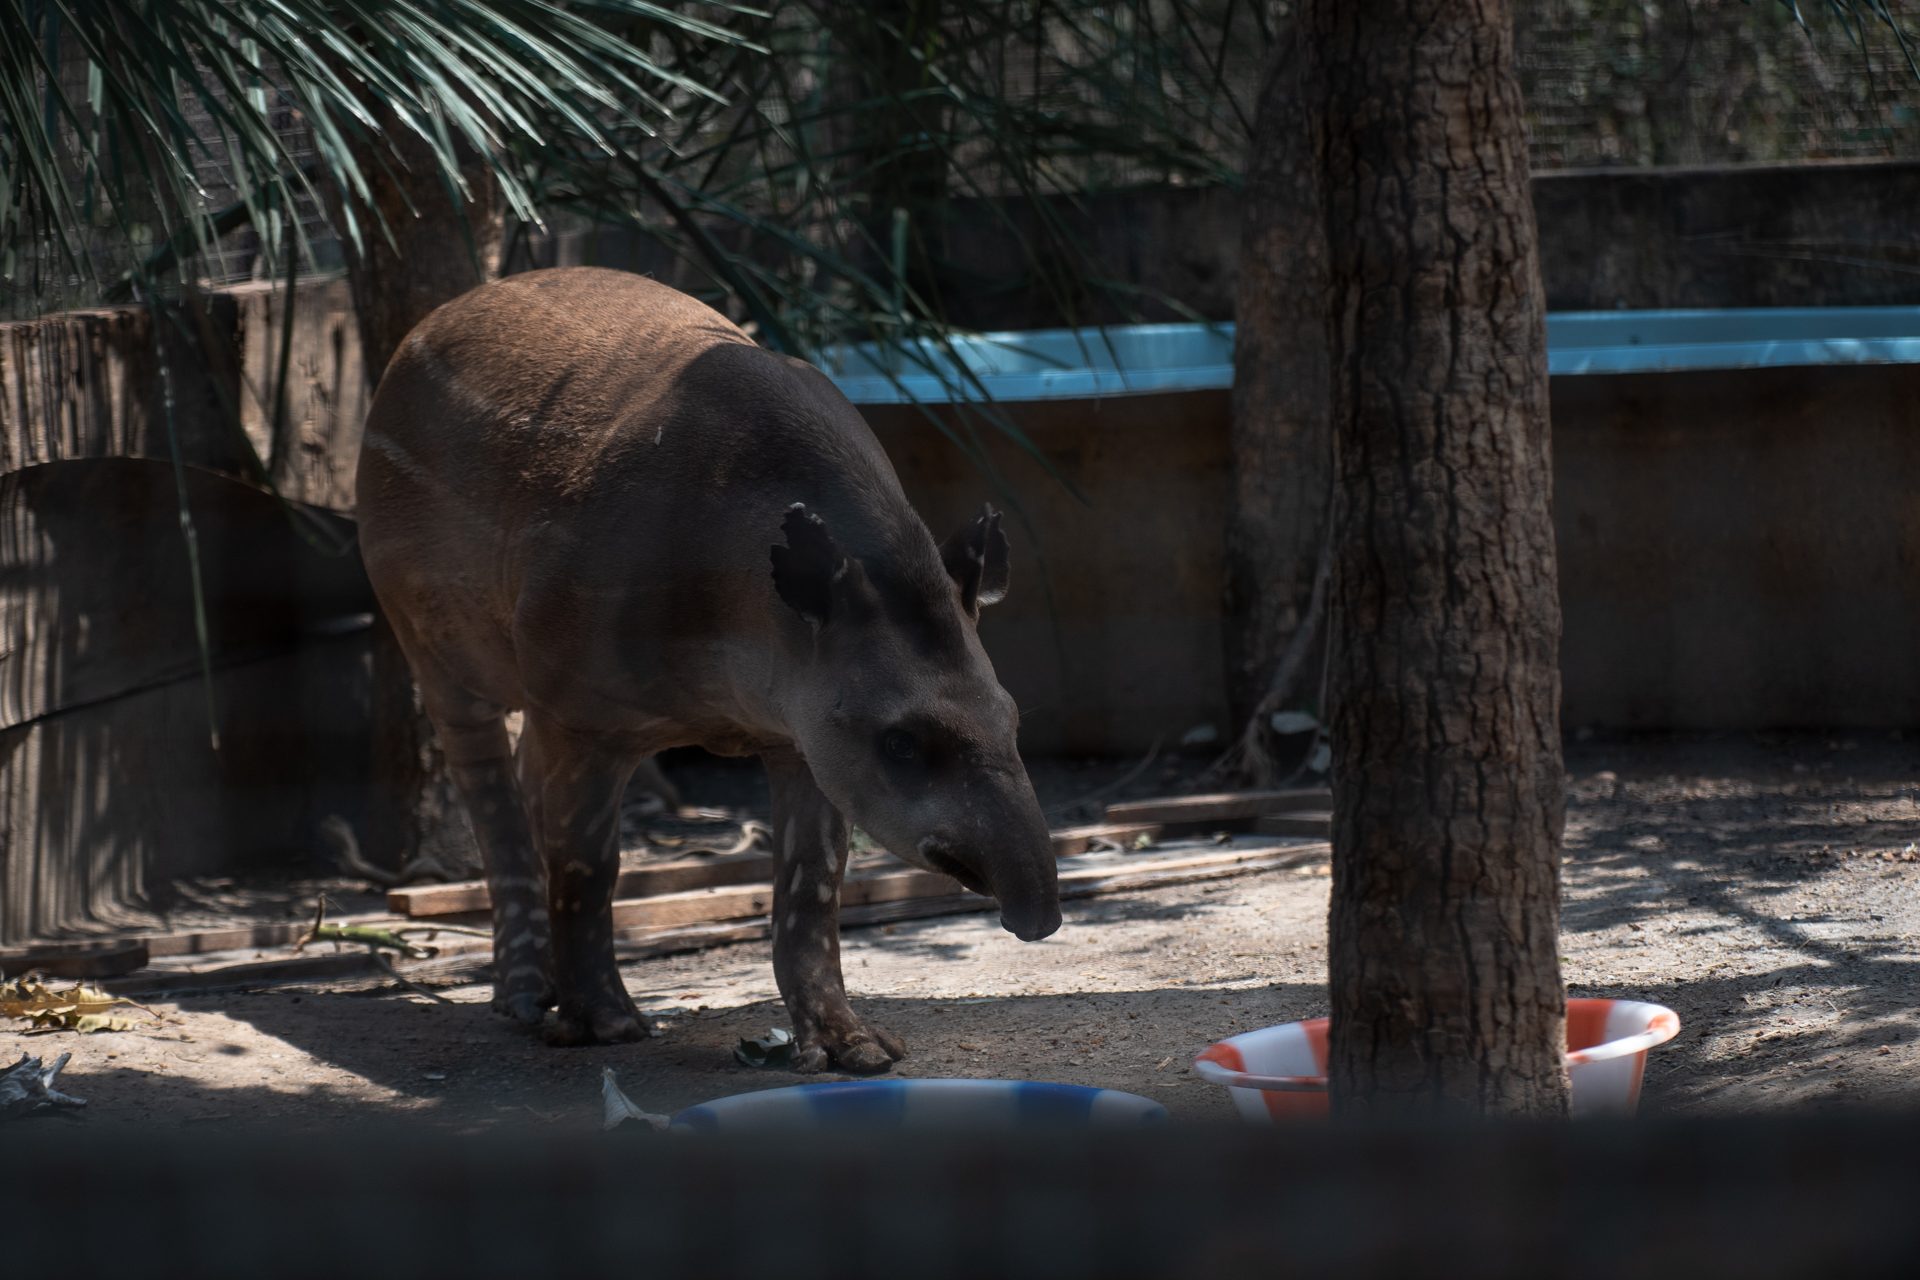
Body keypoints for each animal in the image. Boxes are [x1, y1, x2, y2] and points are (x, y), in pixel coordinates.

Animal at [354, 267, 1061, 1071]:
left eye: (1011, 716)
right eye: (903, 741)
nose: (1038, 910)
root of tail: (424, 328)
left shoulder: (805, 733)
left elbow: (813, 887)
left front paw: (851, 1046)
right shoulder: (579, 711)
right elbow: (587, 869)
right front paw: (604, 1024)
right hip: (430, 637)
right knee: (491, 795)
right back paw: (527, 999)